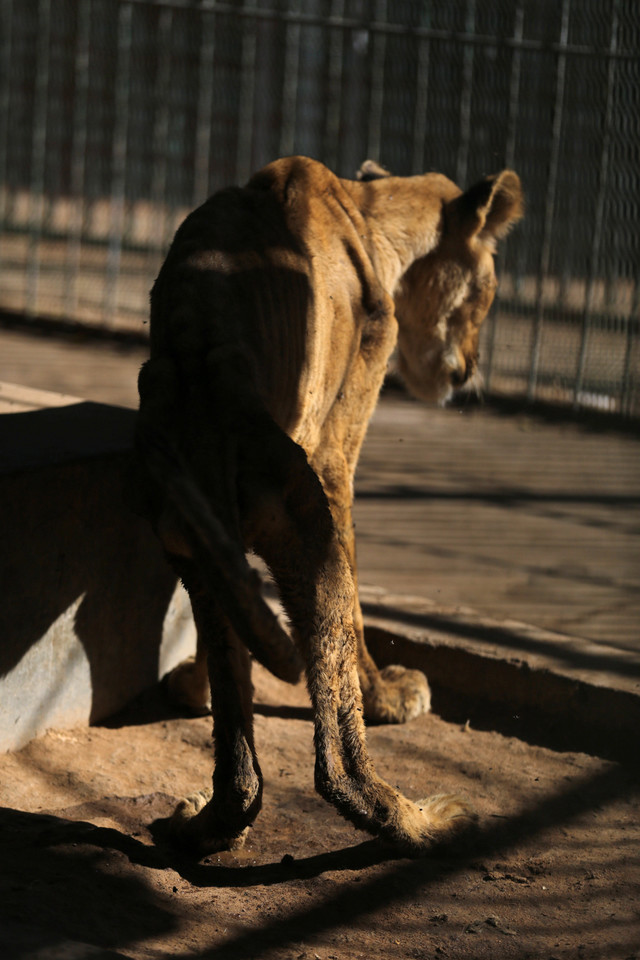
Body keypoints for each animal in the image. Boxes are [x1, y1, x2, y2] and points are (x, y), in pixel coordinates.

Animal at [132, 156, 524, 856]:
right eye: (486, 294)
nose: (468, 371)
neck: (370, 212)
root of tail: (205, 367)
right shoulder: (336, 452)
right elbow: (357, 614)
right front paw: (388, 694)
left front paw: (193, 688)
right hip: (307, 527)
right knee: (334, 760)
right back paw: (422, 821)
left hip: (192, 542)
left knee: (242, 779)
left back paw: (194, 826)